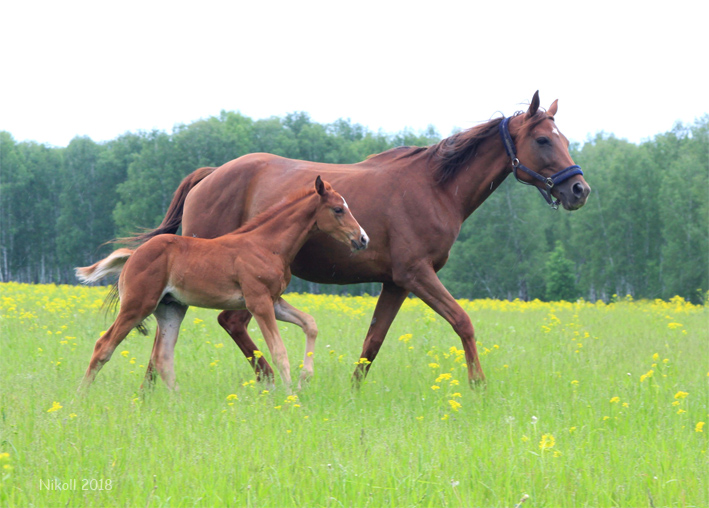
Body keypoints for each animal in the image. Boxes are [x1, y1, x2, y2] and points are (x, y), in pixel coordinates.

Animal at [75, 177, 368, 390]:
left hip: (171, 309)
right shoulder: (258, 302)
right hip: (137, 305)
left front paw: (304, 378)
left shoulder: (274, 300)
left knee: (163, 358)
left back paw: (178, 404)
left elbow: (310, 324)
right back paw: (80, 398)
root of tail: (133, 255)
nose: (363, 238)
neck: (268, 245)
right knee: (103, 346)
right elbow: (279, 351)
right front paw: (290, 396)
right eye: (338, 209)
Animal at [130, 92, 588, 384]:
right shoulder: (418, 274)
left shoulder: (396, 283)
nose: (579, 189)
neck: (435, 187)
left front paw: (353, 390)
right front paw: (478, 385)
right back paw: (266, 381)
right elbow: (463, 321)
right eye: (543, 139)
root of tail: (208, 175)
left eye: (565, 139)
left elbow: (374, 340)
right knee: (220, 325)